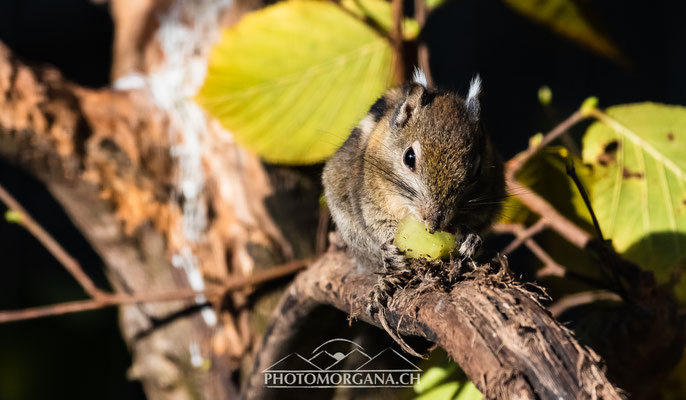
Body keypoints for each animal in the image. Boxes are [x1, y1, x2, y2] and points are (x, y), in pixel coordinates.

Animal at [322, 69, 506, 296]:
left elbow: (479, 224)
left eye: (477, 170)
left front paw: (471, 239)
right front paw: (389, 249)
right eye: (409, 157)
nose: (434, 224)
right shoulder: (369, 194)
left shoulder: (488, 200)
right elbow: (376, 222)